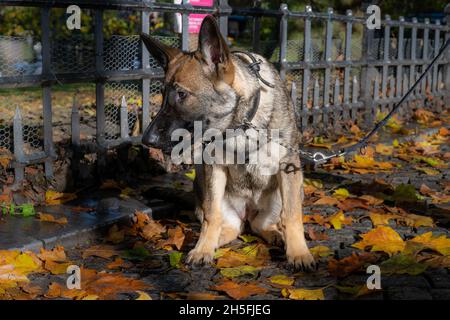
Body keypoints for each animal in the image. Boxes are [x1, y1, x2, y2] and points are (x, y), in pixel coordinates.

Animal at [142, 15, 314, 270]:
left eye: (181, 94)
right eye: (162, 94)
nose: (147, 140)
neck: (240, 125)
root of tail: (247, 215)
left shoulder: (288, 167)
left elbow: (292, 216)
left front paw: (299, 253)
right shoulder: (213, 170)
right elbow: (211, 217)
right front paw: (203, 248)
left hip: (287, 192)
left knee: (264, 225)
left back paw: (277, 235)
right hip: (208, 191)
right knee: (227, 226)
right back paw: (210, 243)